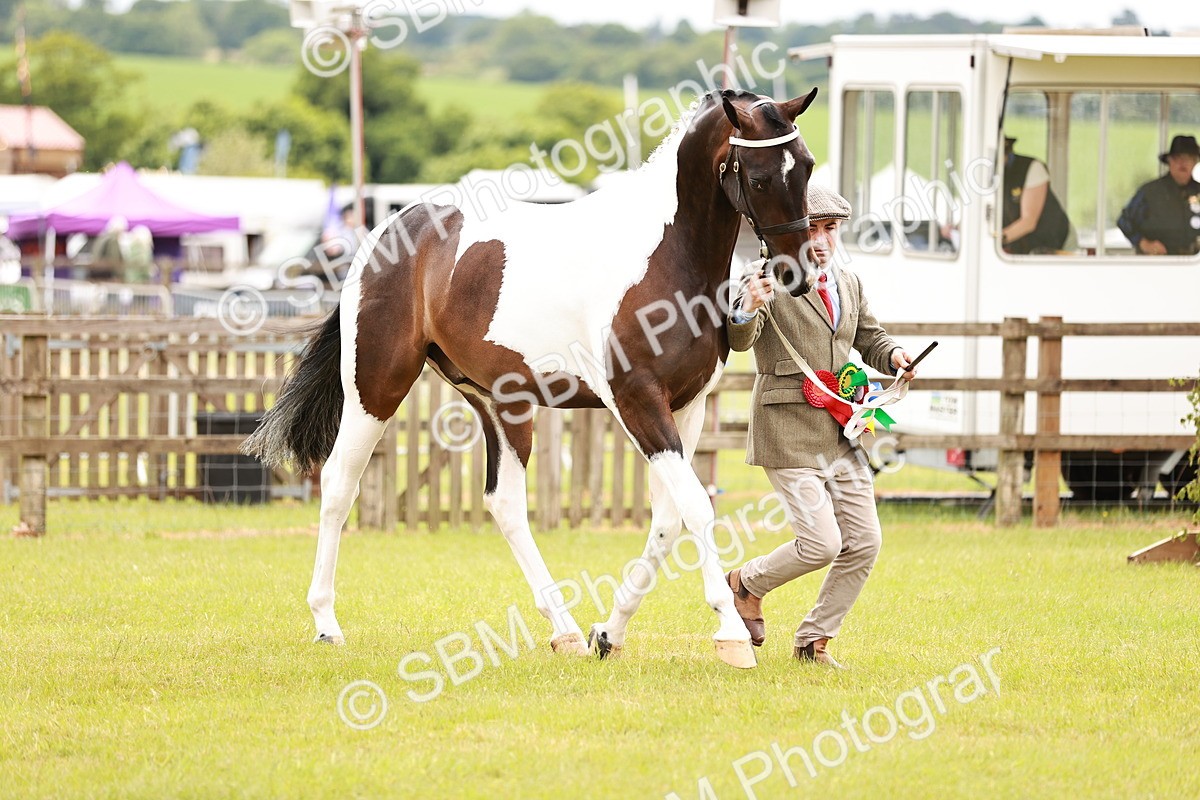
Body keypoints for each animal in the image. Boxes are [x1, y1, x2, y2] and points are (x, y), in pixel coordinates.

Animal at [243, 87, 820, 669]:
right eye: (760, 177)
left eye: (807, 166)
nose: (796, 273)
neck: (665, 255)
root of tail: (383, 236)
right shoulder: (636, 400)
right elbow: (697, 508)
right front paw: (731, 634)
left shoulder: (687, 406)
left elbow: (667, 518)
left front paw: (609, 632)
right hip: (376, 386)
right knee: (340, 482)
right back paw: (326, 623)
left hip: (501, 403)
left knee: (505, 503)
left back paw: (565, 630)